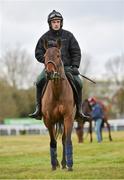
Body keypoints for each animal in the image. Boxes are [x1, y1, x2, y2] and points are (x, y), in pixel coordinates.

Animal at [41, 39, 75, 172]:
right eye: (45, 56)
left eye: (58, 55)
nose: (50, 72)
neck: (57, 92)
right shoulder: (48, 120)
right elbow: (52, 141)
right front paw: (53, 164)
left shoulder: (68, 117)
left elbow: (67, 140)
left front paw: (70, 165)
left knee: (64, 139)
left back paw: (64, 163)